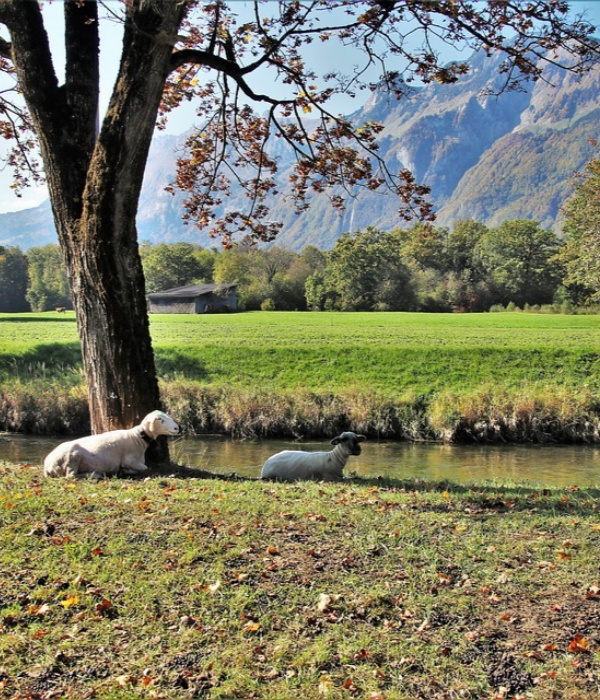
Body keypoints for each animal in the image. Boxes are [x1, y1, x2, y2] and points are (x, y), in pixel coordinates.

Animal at [43, 410, 179, 479]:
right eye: (159, 419)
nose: (177, 428)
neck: (137, 438)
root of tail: (47, 466)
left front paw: (124, 471)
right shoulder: (129, 461)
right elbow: (145, 468)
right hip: (72, 457)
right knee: (71, 476)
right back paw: (94, 474)